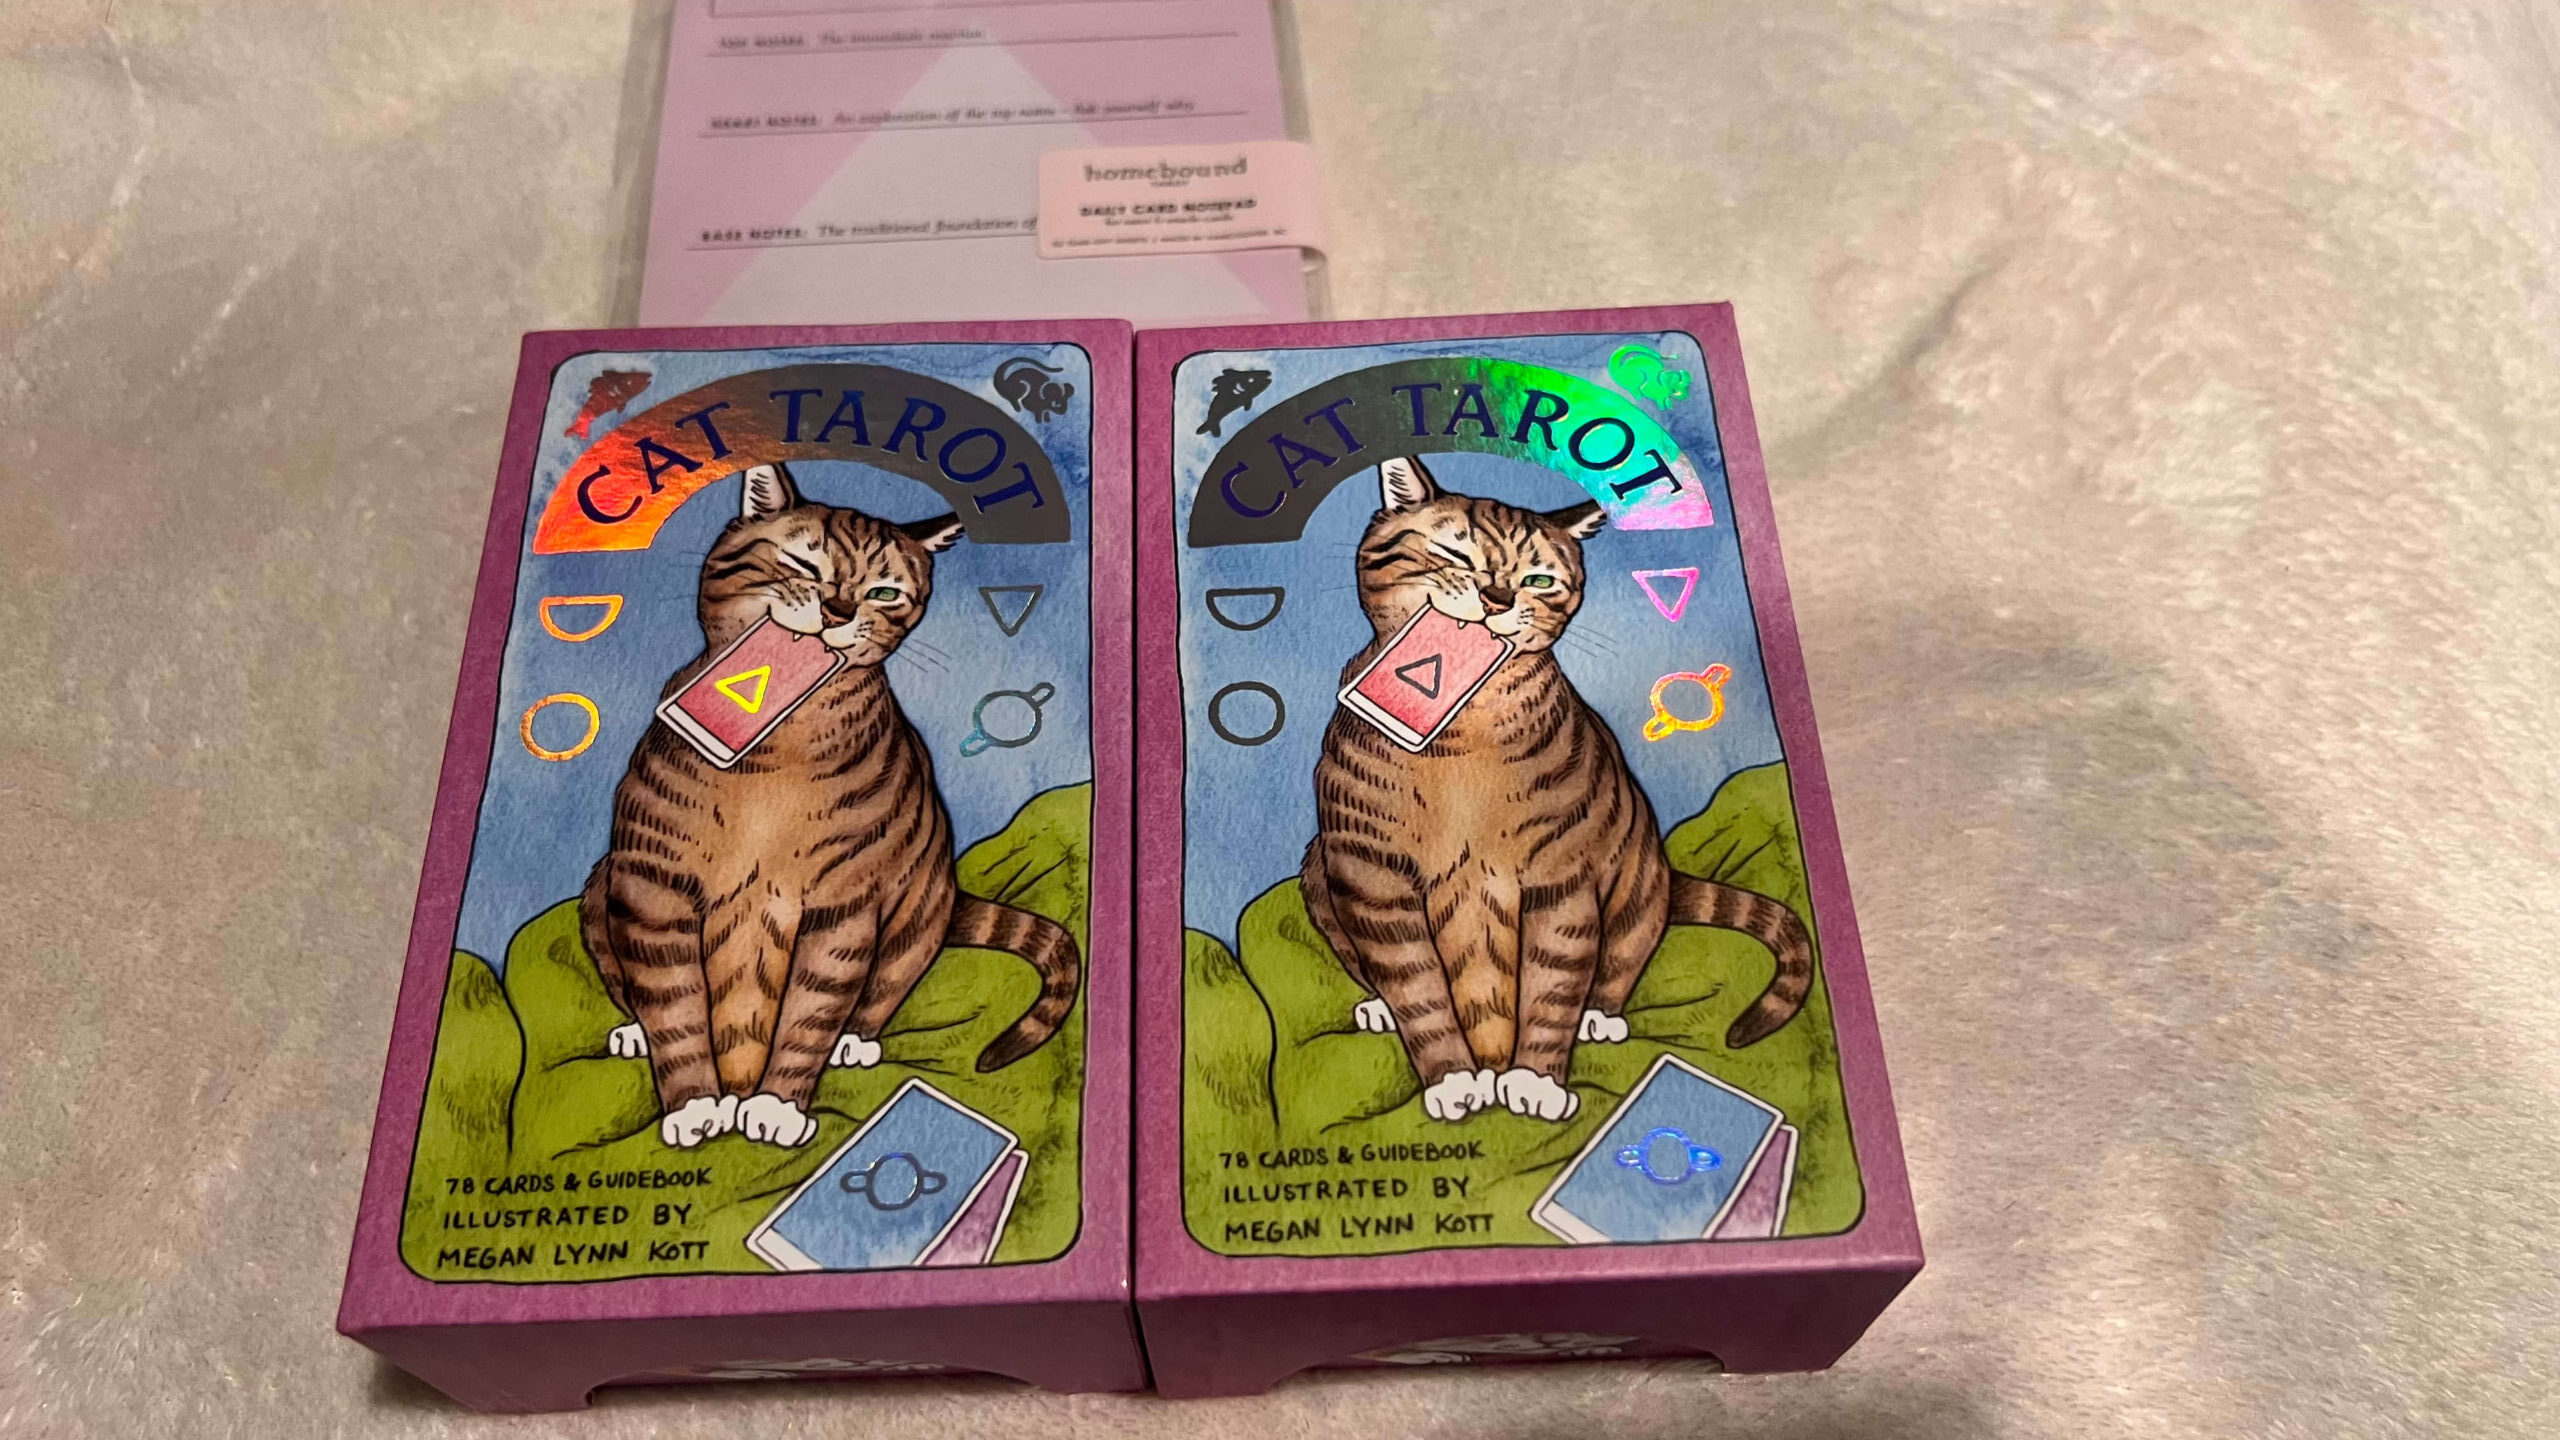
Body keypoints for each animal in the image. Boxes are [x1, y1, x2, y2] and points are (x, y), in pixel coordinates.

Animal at [581, 462, 1081, 1150]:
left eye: (884, 593)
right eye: (802, 562)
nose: (838, 609)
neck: (775, 756)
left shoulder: (844, 905)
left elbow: (811, 1011)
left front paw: (776, 1106)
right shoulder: (653, 890)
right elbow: (674, 1009)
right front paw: (694, 1104)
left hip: (918, 914)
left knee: (882, 987)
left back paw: (854, 1042)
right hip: (599, 890)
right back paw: (633, 1031)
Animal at [1300, 455, 1814, 1125]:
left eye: (1539, 579)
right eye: (1454, 553)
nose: (1497, 598)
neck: (1462, 740)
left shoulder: (1561, 879)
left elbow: (1553, 985)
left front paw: (1535, 1079)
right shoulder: (1373, 879)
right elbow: (1418, 989)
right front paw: (1453, 1079)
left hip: (1637, 886)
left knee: (1619, 959)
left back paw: (1601, 1016)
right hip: (1318, 871)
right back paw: (1379, 1007)